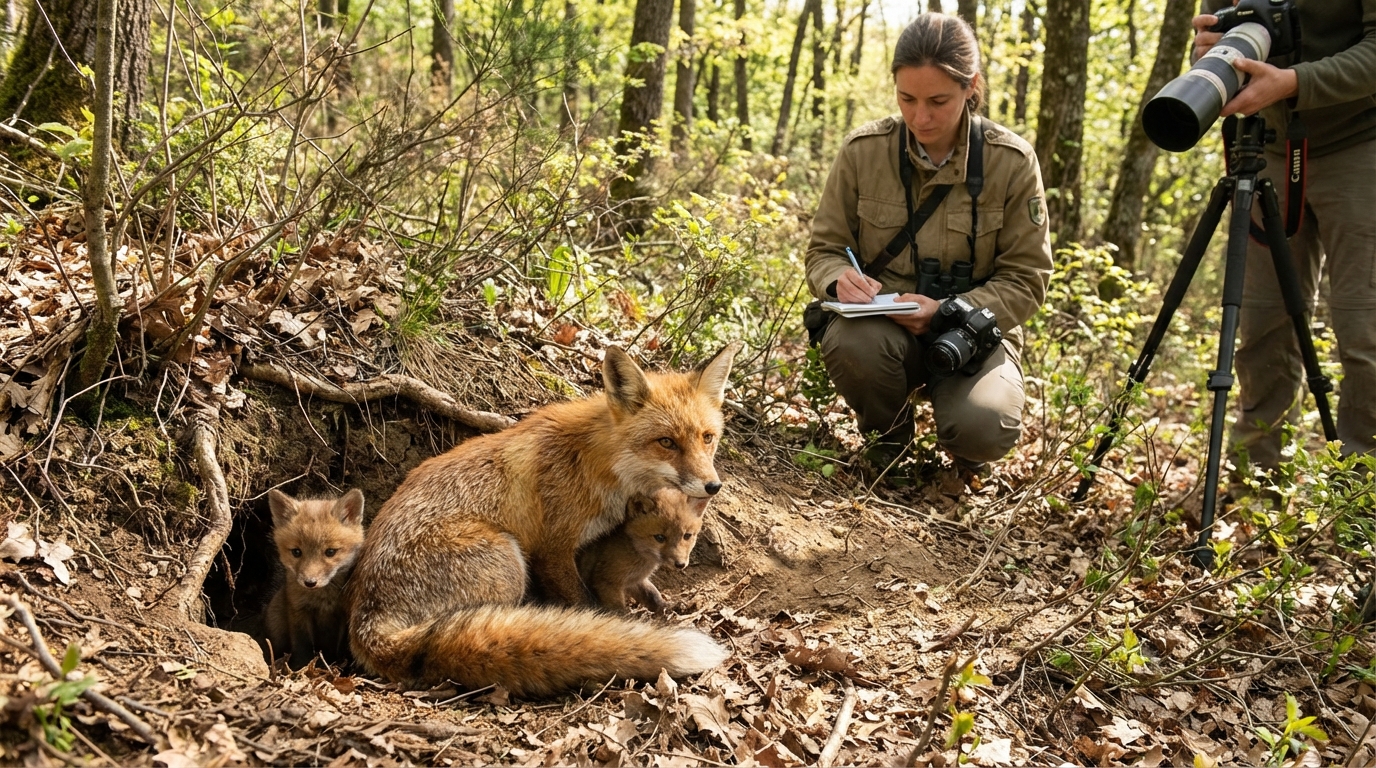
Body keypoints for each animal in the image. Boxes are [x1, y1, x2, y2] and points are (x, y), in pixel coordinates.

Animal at [264, 488, 366, 667]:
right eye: (296, 552)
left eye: (330, 552)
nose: (310, 582)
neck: (323, 600)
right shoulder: (298, 611)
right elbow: (302, 646)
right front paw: (300, 667)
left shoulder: (344, 615)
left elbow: (340, 647)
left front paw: (338, 665)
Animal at [578, 488, 708, 614]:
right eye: (659, 538)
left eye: (687, 536)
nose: (680, 564)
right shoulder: (606, 581)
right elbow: (618, 609)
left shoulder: (635, 580)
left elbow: (652, 594)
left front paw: (666, 607)